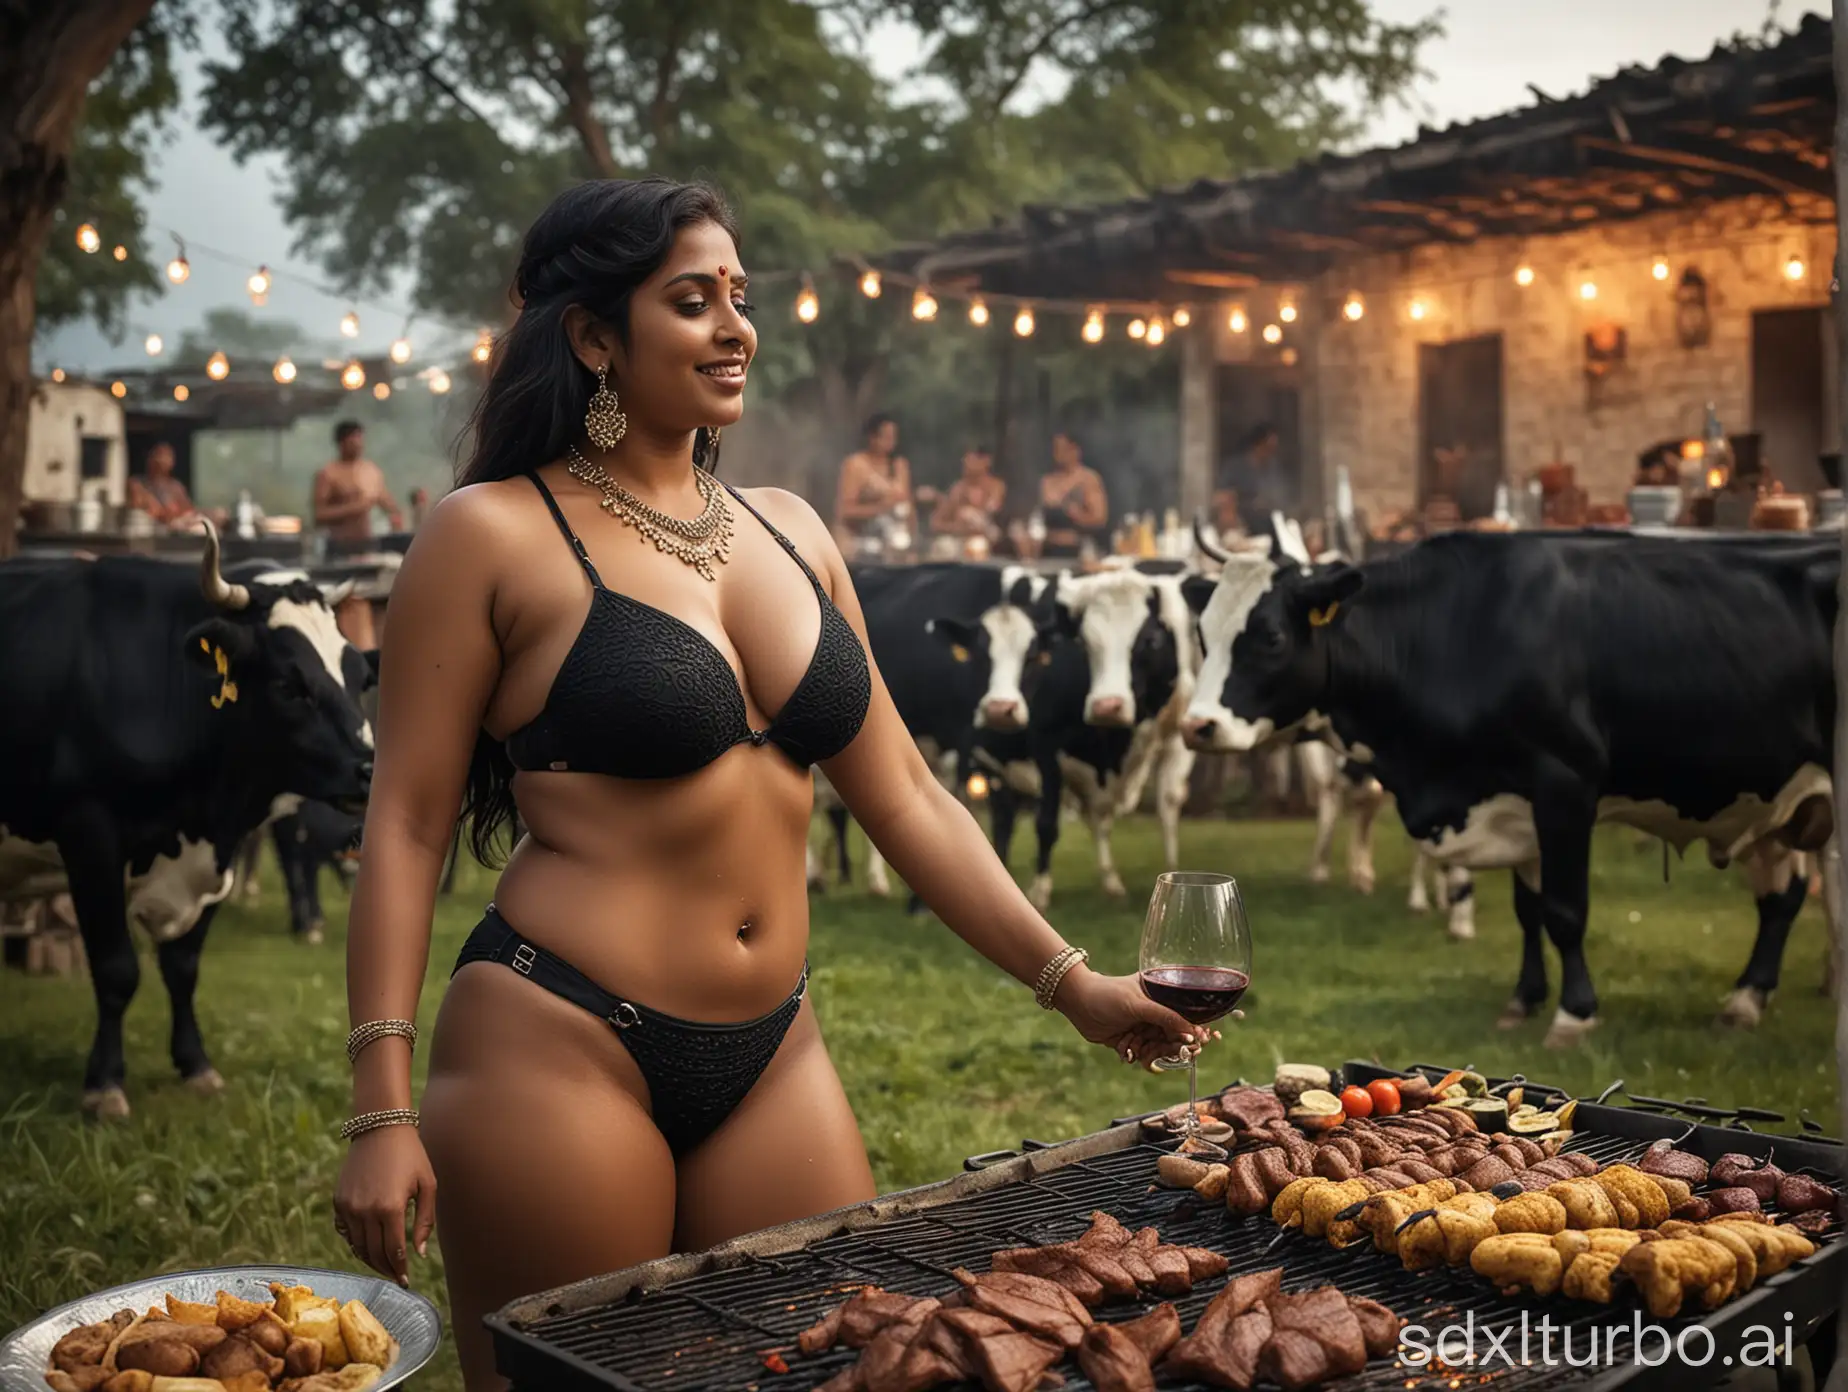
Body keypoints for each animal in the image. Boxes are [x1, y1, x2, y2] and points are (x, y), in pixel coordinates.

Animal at [0, 525, 375, 1116]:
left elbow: (182, 968)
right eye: (289, 684)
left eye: (360, 676)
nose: (370, 768)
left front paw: (196, 1066)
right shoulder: (89, 832)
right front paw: (104, 1085)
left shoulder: (219, 845)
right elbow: (117, 969)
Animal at [1182, 528, 1833, 1042]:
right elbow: (1529, 910)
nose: (1198, 725)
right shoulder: (1516, 803)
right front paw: (1525, 999)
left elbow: (1565, 911)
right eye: (1203, 636)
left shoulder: (1564, 785)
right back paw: (1746, 999)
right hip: (1786, 803)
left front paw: (1574, 1015)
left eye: (1270, 637)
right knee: (1782, 899)